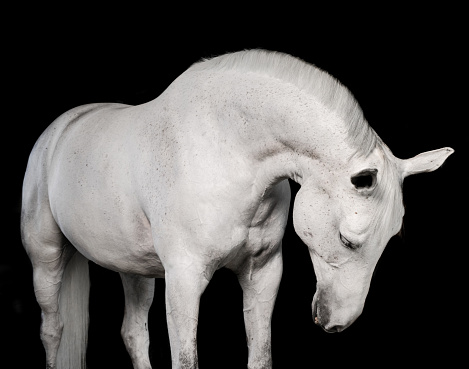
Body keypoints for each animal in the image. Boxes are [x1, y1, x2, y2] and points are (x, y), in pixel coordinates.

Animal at [22, 49, 454, 368]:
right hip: (46, 258)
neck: (226, 150)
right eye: (348, 240)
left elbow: (260, 355)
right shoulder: (184, 279)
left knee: (132, 333)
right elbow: (185, 359)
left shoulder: (263, 273)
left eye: (391, 240)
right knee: (52, 329)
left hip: (136, 269)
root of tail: (61, 128)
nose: (337, 323)